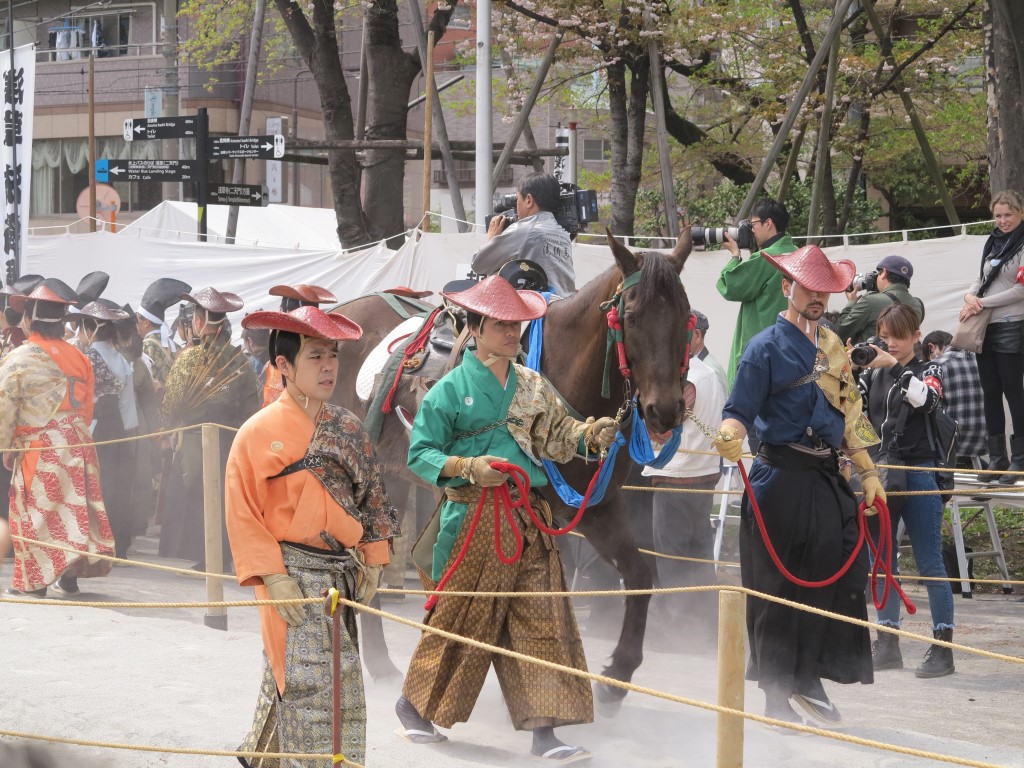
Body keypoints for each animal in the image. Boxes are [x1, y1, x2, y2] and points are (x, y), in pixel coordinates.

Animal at [331, 231, 692, 712]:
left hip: (390, 479)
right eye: (631, 318)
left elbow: (638, 577)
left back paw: (379, 662)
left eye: (685, 317)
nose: (665, 410)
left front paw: (617, 675)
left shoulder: (600, 507)